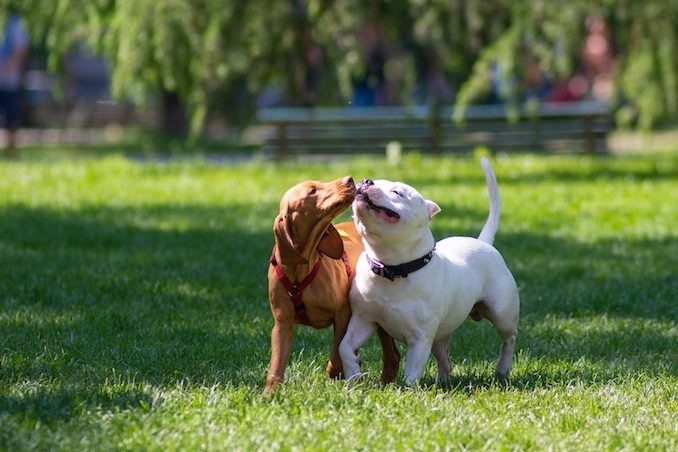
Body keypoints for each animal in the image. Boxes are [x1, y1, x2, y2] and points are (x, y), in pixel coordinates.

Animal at [266, 176, 404, 392]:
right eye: (312, 190)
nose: (349, 179)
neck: (300, 272)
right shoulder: (282, 324)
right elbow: (276, 366)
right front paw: (270, 394)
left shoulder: (342, 314)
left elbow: (336, 354)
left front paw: (339, 371)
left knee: (392, 355)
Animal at [340, 159, 520, 384]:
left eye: (397, 192)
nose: (365, 181)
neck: (392, 269)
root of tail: (483, 242)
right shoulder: (363, 320)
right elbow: (344, 347)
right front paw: (353, 376)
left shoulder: (420, 339)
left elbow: (412, 372)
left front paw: (406, 389)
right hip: (440, 335)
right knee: (444, 358)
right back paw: (442, 381)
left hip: (502, 314)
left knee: (509, 339)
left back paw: (503, 368)